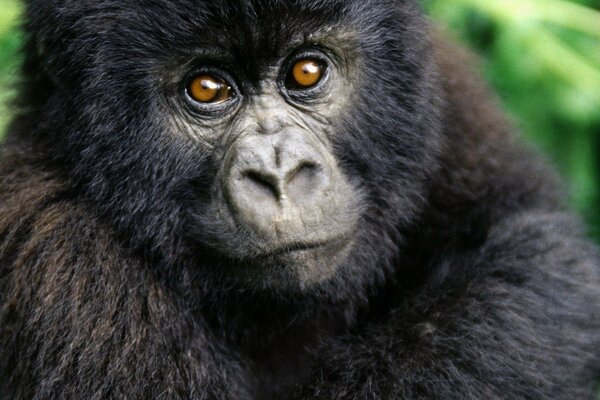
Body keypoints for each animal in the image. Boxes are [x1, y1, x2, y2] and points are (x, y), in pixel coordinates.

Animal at [1, 0, 600, 398]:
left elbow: (540, 255)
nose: (280, 173)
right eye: (206, 88)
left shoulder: (448, 96)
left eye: (306, 71)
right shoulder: (61, 265)